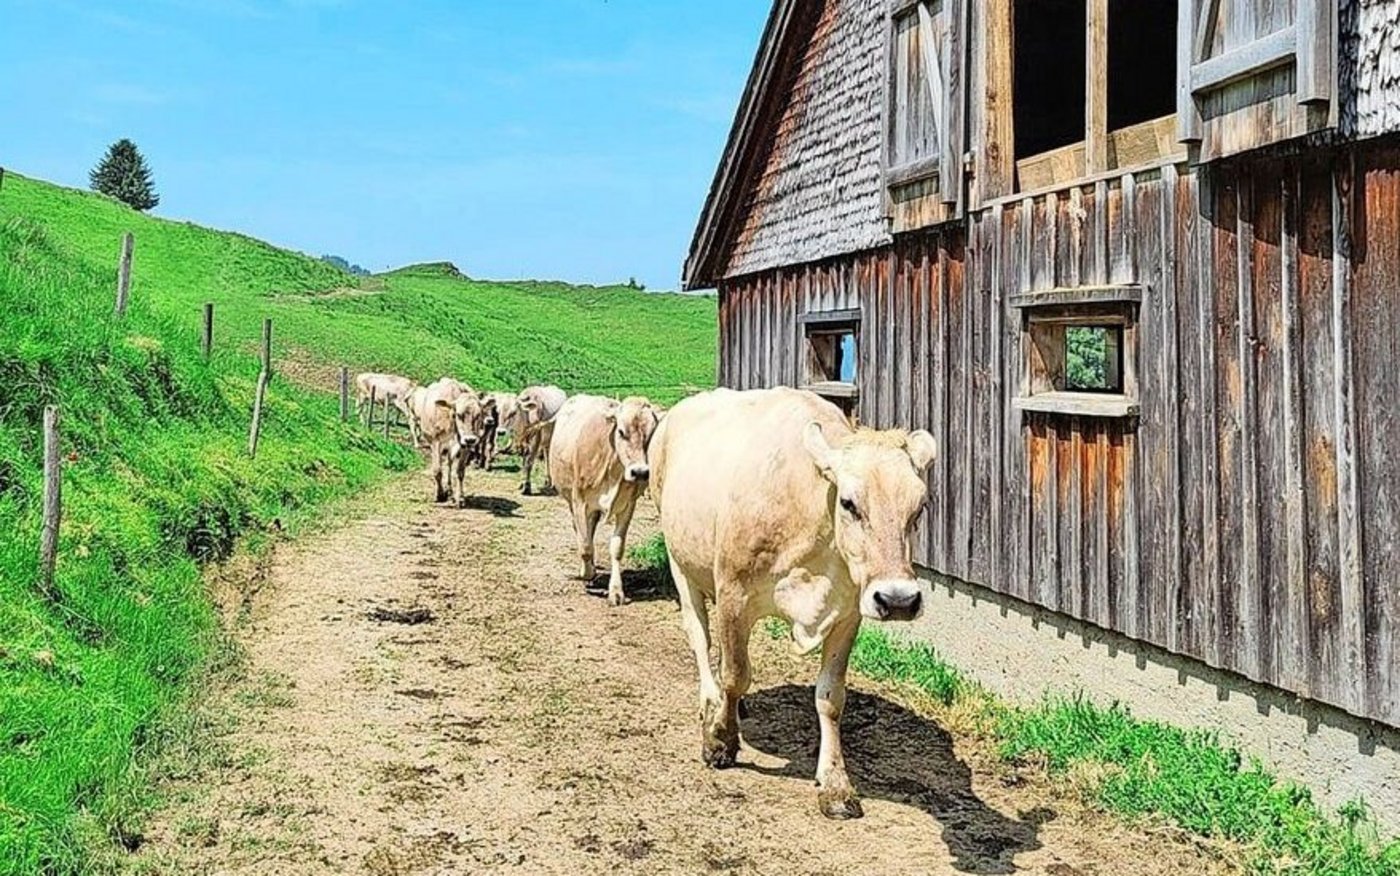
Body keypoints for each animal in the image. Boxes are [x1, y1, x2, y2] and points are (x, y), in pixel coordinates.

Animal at [414, 378, 497, 506]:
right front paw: (439, 495)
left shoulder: (465, 446)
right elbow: (437, 470)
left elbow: (460, 471)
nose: (470, 439)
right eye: (459, 415)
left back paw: (449, 489)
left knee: (449, 463)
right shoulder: (435, 442)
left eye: (478, 415)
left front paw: (460, 497)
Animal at [548, 395, 662, 606]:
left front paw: (616, 591)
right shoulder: (579, 502)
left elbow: (616, 547)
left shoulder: (628, 506)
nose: (640, 472)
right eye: (621, 432)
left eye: (650, 434)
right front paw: (587, 573)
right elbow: (585, 545)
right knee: (581, 533)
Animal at [647, 387, 935, 819]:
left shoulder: (849, 613)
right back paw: (711, 703)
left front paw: (834, 783)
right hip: (680, 560)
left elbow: (831, 697)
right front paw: (720, 739)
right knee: (700, 638)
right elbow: (735, 675)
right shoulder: (733, 594)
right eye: (849, 503)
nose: (898, 599)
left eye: (919, 508)